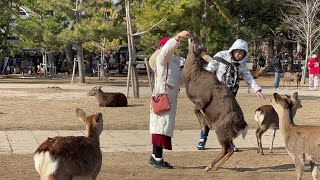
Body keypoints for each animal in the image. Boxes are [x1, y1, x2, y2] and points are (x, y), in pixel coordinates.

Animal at [184, 35, 249, 172]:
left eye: (199, 45)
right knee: (230, 149)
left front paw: (205, 124)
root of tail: (242, 125)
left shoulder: (203, 98)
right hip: (227, 134)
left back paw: (209, 166)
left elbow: (195, 109)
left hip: (221, 129)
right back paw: (217, 166)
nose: (191, 36)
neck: (192, 78)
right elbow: (197, 110)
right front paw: (206, 124)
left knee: (226, 149)